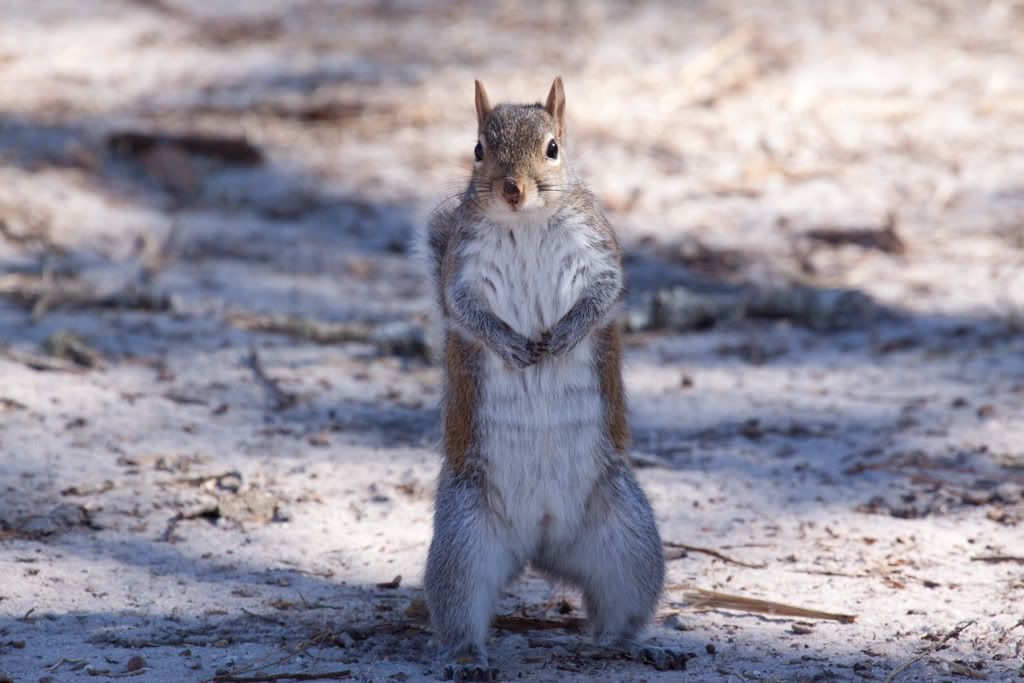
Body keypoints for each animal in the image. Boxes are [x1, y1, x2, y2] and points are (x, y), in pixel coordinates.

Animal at [421, 77, 687, 682]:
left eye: (553, 148)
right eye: (478, 149)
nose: (513, 190)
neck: (525, 224)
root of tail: (540, 539)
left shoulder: (600, 253)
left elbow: (602, 297)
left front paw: (562, 339)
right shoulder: (461, 272)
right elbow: (466, 310)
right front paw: (513, 346)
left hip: (629, 541)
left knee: (616, 619)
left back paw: (635, 646)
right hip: (463, 542)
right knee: (460, 609)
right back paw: (467, 658)